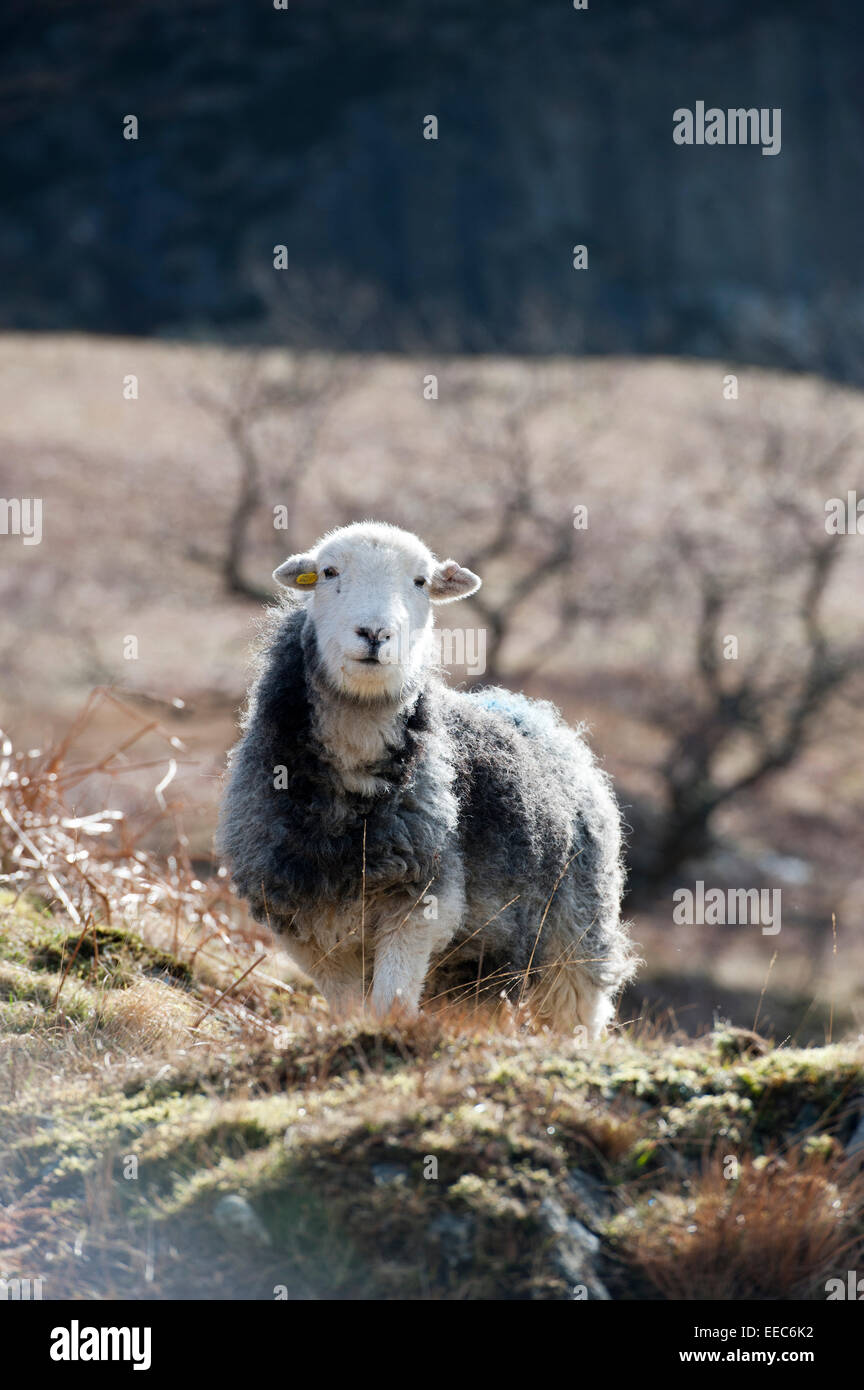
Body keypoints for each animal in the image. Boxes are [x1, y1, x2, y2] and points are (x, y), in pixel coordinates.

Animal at [218, 519, 636, 1034]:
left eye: (420, 582)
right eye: (328, 572)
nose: (375, 633)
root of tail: (538, 716)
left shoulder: (422, 904)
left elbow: (389, 1005)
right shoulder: (303, 926)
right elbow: (349, 1008)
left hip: (574, 933)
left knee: (576, 1014)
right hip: (476, 965)